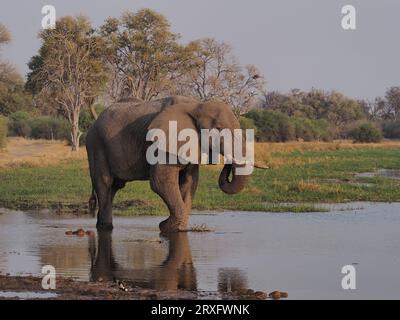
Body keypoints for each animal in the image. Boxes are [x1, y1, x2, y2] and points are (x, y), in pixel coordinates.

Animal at [86, 95, 252, 232]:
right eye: (218, 129)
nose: (228, 164)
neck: (197, 105)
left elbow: (189, 182)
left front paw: (178, 228)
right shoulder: (162, 143)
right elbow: (160, 182)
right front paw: (167, 227)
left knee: (114, 187)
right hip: (96, 145)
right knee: (105, 183)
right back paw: (105, 227)